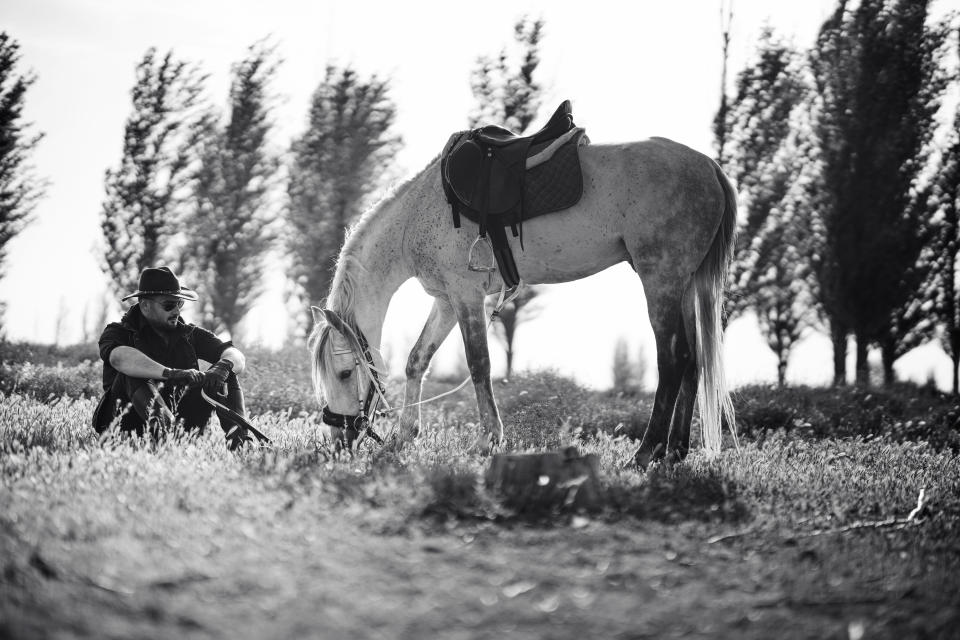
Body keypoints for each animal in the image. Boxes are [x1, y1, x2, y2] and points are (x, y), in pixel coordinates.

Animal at [308, 136, 736, 464]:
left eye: (344, 373)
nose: (340, 441)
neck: (417, 215)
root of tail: (709, 168)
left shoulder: (466, 296)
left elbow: (479, 365)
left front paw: (488, 441)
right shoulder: (447, 300)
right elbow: (417, 360)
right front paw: (404, 435)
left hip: (660, 281)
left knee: (673, 360)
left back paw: (647, 453)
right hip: (682, 285)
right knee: (693, 361)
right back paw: (675, 452)